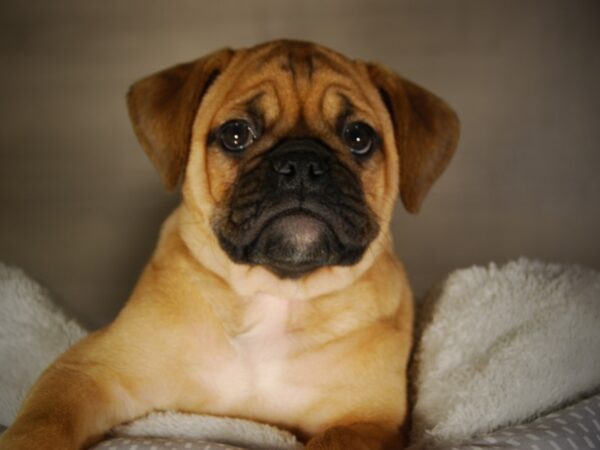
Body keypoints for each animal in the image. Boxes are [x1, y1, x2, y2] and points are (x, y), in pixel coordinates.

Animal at [1, 40, 460, 448]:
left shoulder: (367, 420)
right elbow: (42, 421)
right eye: (237, 134)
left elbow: (333, 442)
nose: (303, 165)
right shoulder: (91, 371)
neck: (275, 294)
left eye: (359, 137)